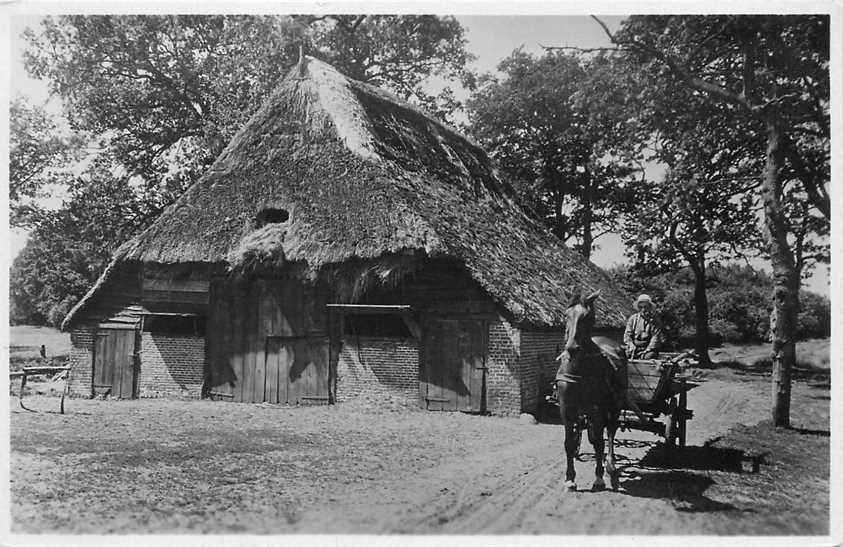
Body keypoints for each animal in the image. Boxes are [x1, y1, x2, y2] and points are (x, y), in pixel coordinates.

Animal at [552, 292, 628, 492]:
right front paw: (570, 479)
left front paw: (599, 478)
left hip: (614, 406)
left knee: (610, 433)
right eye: (566, 315)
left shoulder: (597, 409)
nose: (572, 348)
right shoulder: (566, 410)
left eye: (588, 318)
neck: (580, 370)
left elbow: (600, 443)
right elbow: (570, 443)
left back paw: (611, 466)